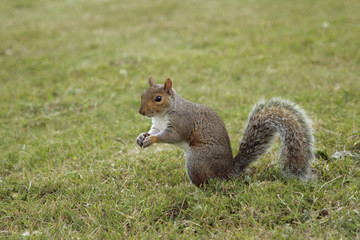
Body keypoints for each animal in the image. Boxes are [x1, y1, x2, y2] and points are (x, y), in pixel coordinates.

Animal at [136, 78, 314, 187]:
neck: (162, 115)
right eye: (142, 94)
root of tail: (228, 171)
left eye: (158, 98)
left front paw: (151, 140)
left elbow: (171, 136)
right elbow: (152, 131)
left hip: (197, 160)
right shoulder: (157, 125)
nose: (141, 112)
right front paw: (141, 137)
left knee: (208, 183)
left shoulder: (182, 123)